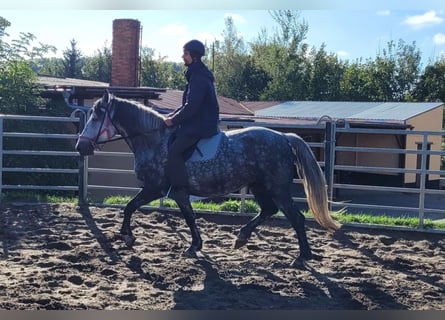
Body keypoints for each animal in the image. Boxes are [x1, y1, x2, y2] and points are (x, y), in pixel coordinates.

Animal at [75, 90, 340, 268]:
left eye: (96, 117)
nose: (80, 147)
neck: (154, 141)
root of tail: (284, 137)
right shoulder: (177, 192)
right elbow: (188, 216)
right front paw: (195, 246)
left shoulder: (155, 189)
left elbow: (131, 207)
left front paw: (128, 236)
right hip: (259, 186)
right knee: (268, 210)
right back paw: (242, 238)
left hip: (278, 188)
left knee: (295, 217)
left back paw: (302, 256)